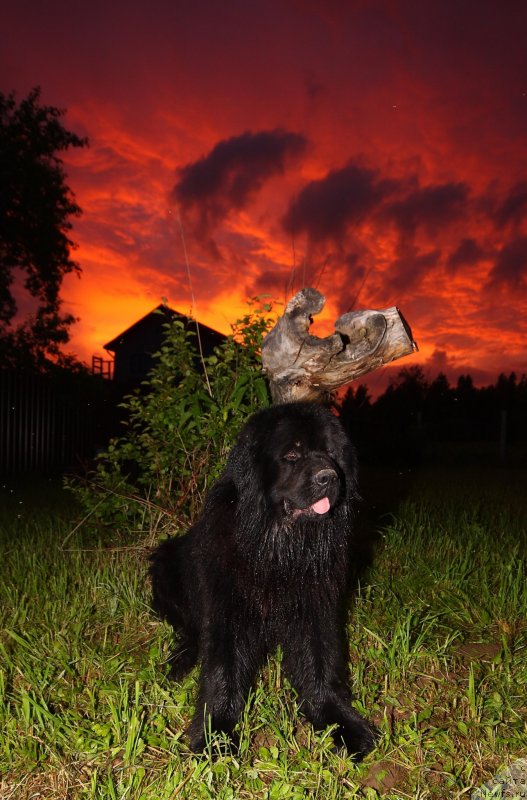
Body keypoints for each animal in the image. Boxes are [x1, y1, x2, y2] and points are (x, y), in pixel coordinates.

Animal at [151, 404, 378, 760]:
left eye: (330, 454)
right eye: (292, 455)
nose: (328, 477)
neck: (276, 551)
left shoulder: (314, 607)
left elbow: (320, 664)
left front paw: (338, 722)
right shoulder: (227, 609)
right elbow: (223, 670)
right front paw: (215, 735)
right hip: (165, 564)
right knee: (190, 631)